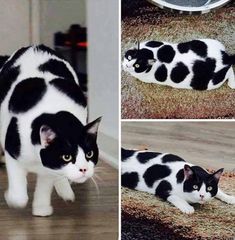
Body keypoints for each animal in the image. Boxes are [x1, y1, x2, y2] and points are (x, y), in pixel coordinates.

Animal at [0, 45, 101, 216]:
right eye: (67, 156)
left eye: (89, 154)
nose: (84, 169)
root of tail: (35, 46)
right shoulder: (11, 151)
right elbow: (20, 198)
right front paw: (10, 198)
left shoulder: (50, 167)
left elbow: (46, 184)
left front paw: (41, 208)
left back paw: (66, 192)